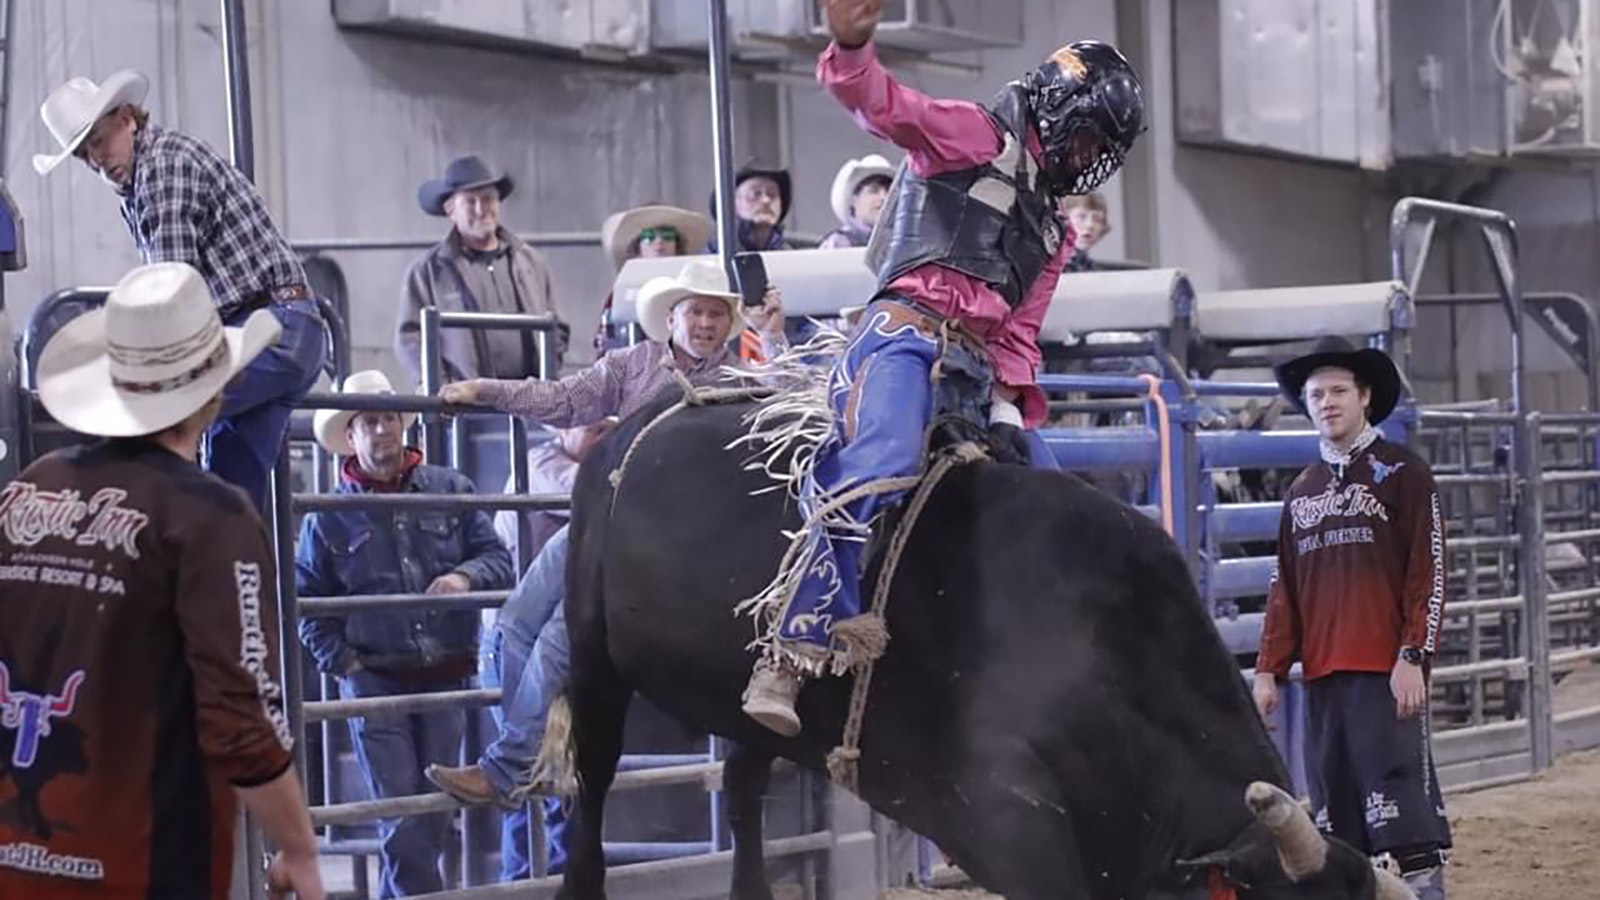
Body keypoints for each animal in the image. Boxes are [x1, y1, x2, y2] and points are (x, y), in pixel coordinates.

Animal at [553, 395, 1414, 896]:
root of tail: (629, 430)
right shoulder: (1011, 821)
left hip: (745, 703)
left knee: (742, 787)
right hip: (593, 649)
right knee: (593, 780)